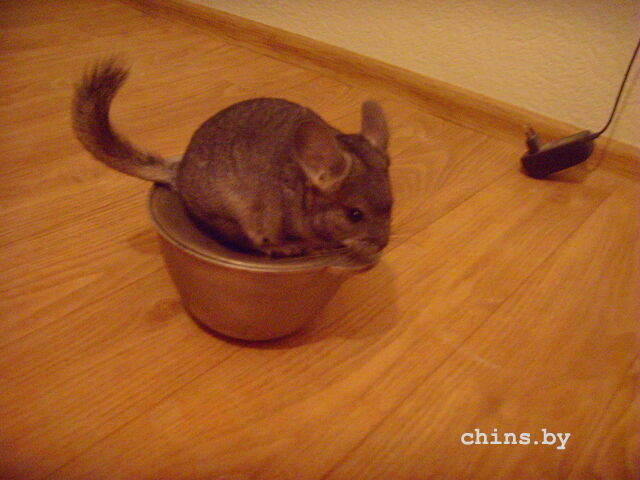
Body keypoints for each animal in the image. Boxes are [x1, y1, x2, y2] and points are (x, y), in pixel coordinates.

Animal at [72, 59, 393, 258]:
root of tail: (179, 173)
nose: (382, 245)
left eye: (392, 203)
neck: (301, 192)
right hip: (236, 214)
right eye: (355, 214)